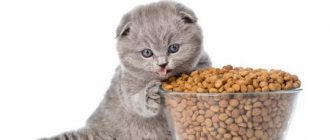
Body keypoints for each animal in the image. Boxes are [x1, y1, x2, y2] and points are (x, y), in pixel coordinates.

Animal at [40, 1, 211, 140]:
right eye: (147, 53)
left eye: (173, 48)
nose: (162, 64)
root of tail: (94, 130)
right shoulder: (125, 87)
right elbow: (136, 101)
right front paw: (149, 95)